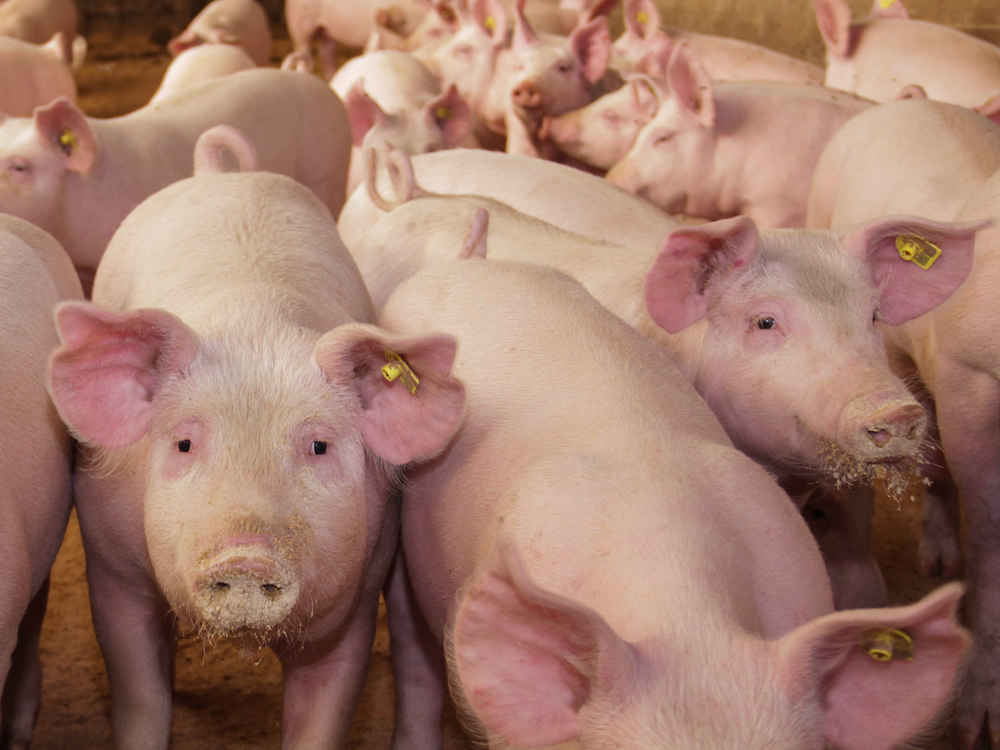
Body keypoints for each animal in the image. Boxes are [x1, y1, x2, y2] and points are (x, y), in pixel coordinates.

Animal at [42, 135, 465, 749]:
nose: (245, 555)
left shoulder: (356, 597)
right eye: (184, 444)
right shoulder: (111, 566)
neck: (257, 324)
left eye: (318, 447)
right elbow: (140, 695)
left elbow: (322, 711)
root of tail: (220, 173)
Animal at [806, 96, 1000, 749]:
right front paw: (977, 729)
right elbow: (988, 539)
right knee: (936, 458)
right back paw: (936, 565)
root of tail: (909, 101)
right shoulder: (972, 380)